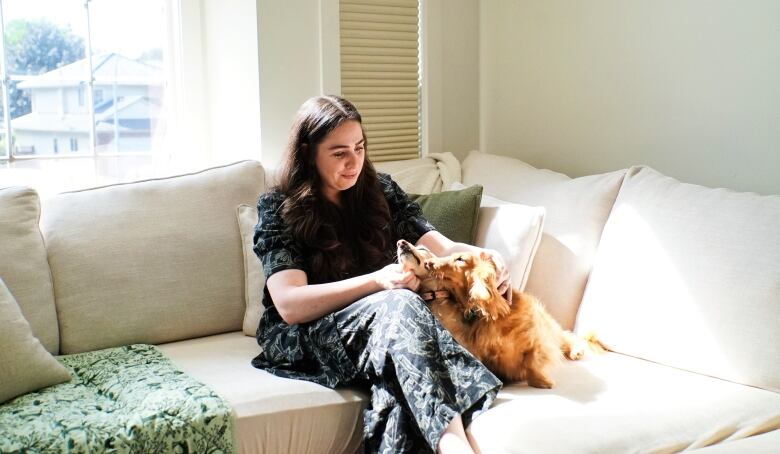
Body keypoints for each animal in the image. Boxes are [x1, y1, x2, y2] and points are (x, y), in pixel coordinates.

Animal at [396, 239, 584, 388]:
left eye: (460, 259)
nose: (401, 242)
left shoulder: (536, 338)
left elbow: (532, 360)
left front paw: (541, 381)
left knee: (565, 337)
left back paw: (576, 350)